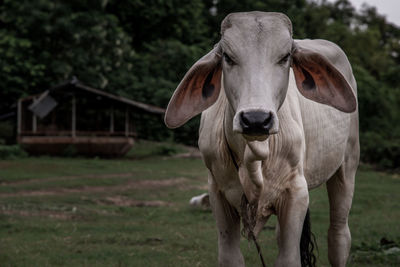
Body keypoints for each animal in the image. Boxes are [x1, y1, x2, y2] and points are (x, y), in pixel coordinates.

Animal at [164, 11, 358, 267]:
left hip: (348, 164)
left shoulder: (296, 192)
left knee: (338, 235)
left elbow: (289, 259)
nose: (256, 119)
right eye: (228, 57)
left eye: (285, 57)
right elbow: (230, 257)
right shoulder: (217, 192)